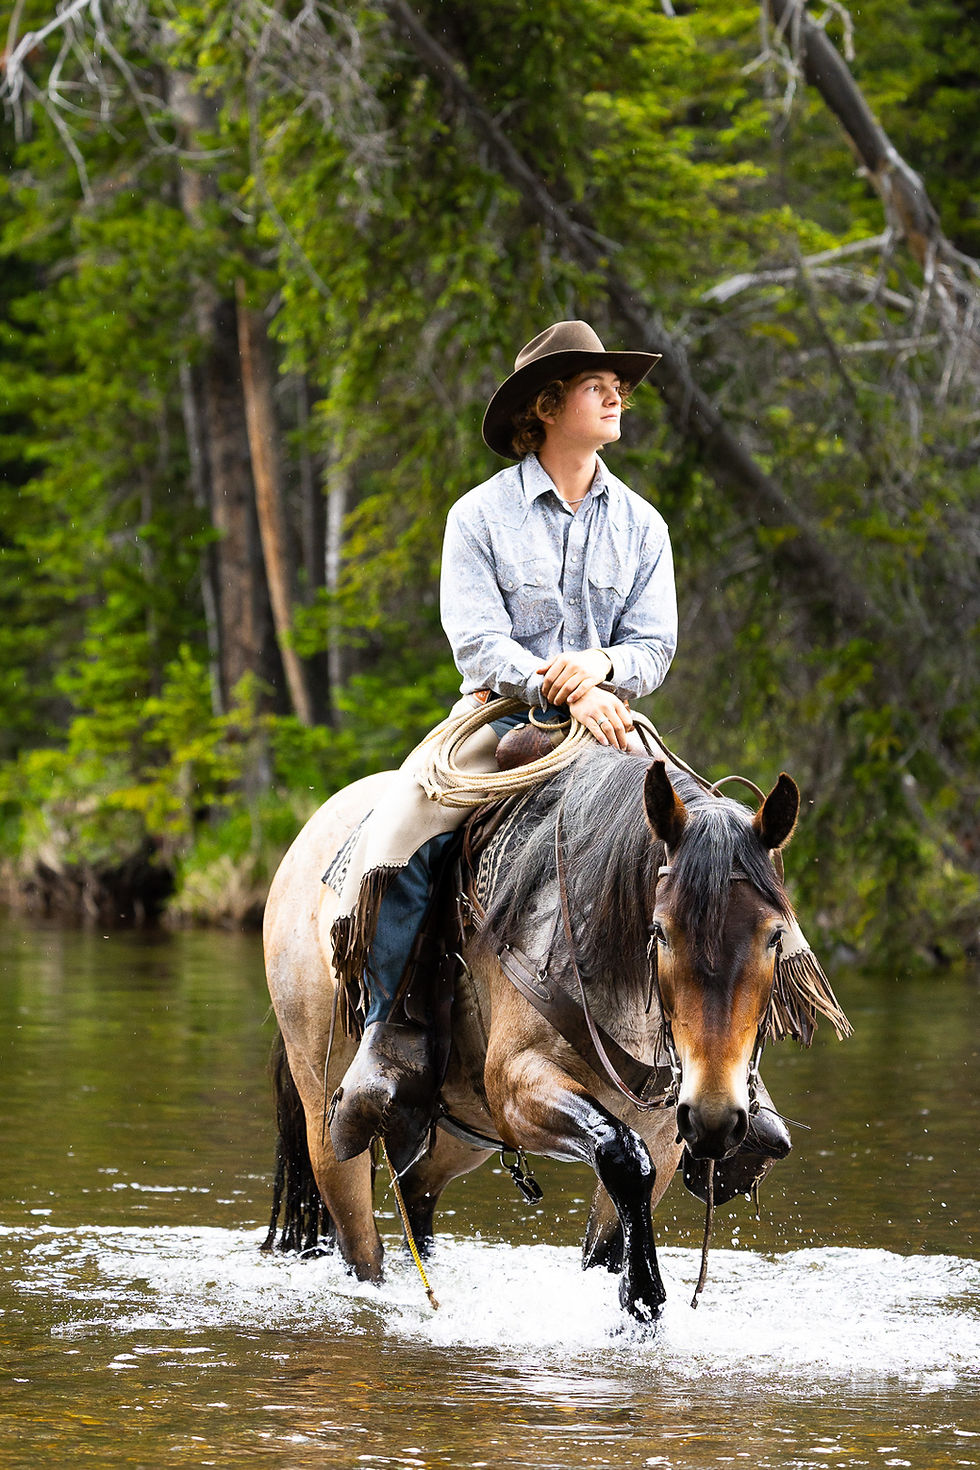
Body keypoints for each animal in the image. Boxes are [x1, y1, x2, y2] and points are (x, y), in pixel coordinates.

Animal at [262, 746, 847, 1324]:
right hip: (329, 1125)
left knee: (417, 1200)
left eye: (775, 936)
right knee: (361, 1246)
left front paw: (634, 1301)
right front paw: (646, 1294)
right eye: (660, 931)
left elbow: (615, 1225)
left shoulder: (663, 1126)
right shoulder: (519, 1084)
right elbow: (620, 1152)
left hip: (453, 1137)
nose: (715, 1118)